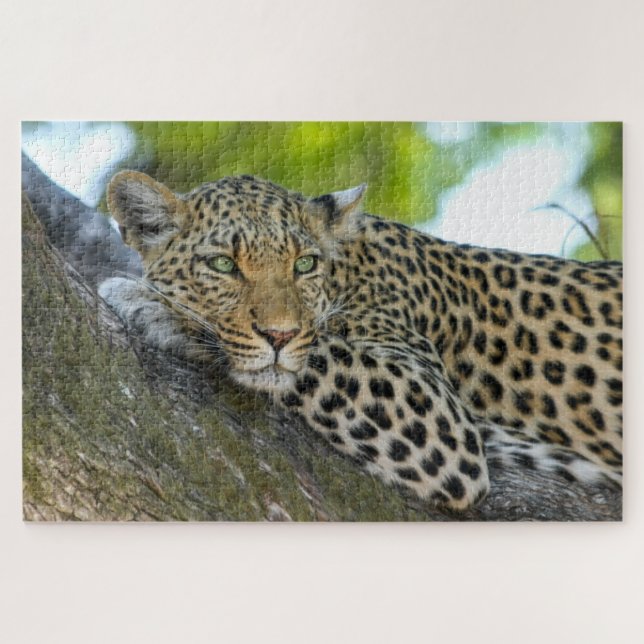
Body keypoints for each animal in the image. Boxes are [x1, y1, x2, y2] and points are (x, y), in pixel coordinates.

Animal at [98, 171, 623, 510]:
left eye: (304, 264)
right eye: (223, 265)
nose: (279, 334)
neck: (349, 271)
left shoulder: (438, 416)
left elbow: (318, 355)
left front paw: (154, 305)